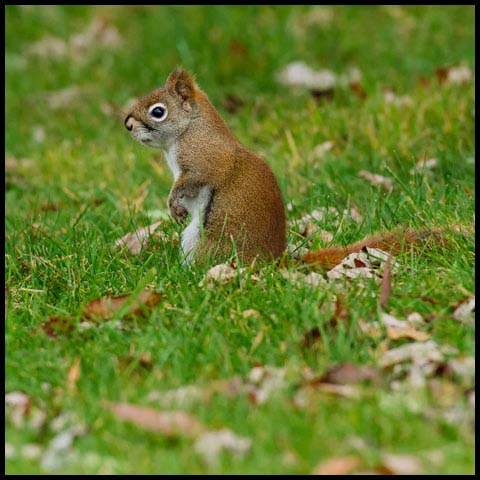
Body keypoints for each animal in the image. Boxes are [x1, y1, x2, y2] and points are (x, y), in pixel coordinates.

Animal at [124, 68, 464, 266]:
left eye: (158, 111)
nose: (127, 123)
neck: (189, 130)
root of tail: (275, 264)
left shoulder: (203, 160)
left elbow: (190, 181)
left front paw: (173, 204)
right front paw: (176, 208)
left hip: (207, 241)